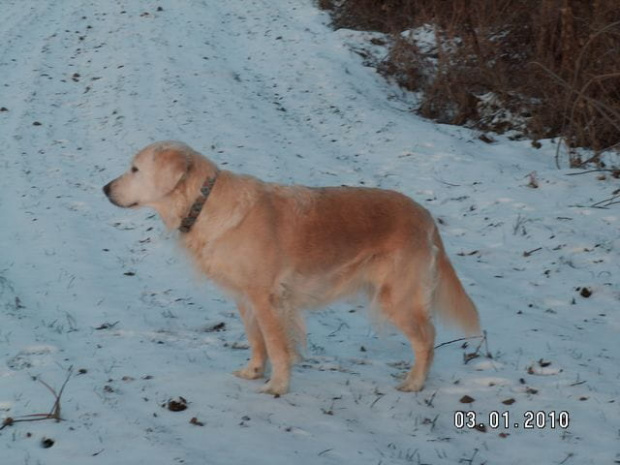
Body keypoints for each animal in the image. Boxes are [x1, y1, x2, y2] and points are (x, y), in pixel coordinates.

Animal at [104, 140, 480, 394]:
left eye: (135, 169)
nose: (105, 188)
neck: (205, 203)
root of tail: (425, 215)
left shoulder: (268, 299)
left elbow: (276, 345)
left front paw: (277, 386)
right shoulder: (246, 299)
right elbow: (257, 341)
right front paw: (254, 371)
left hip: (396, 297)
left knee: (427, 338)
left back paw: (414, 382)